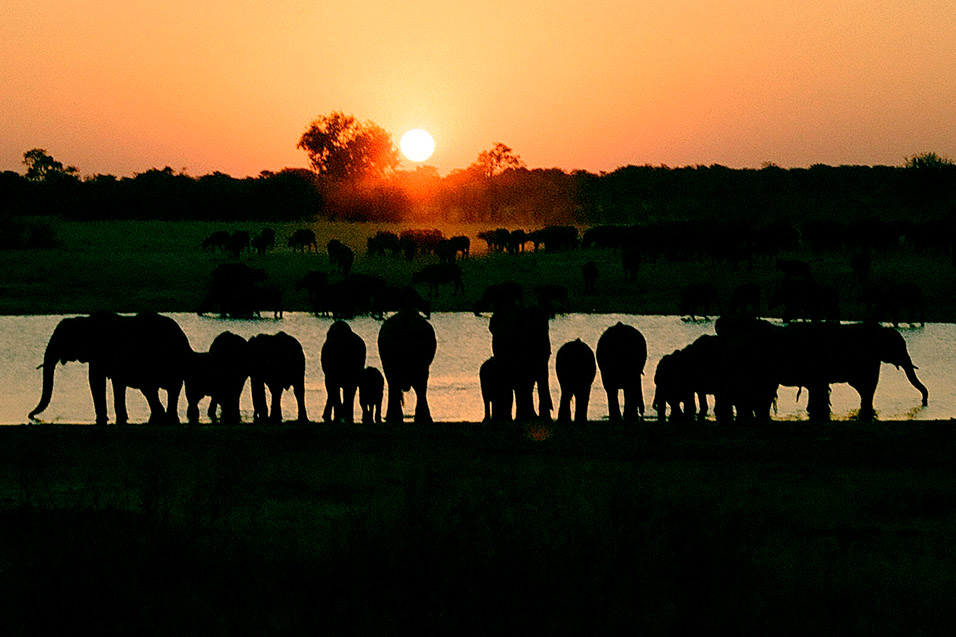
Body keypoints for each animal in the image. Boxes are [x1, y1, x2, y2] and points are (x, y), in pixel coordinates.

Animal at [29, 310, 192, 424]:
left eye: (62, 340)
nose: (30, 415)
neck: (85, 320)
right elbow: (113, 383)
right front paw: (118, 418)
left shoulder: (100, 353)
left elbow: (97, 381)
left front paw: (104, 420)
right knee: (164, 389)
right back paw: (166, 417)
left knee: (156, 388)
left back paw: (164, 418)